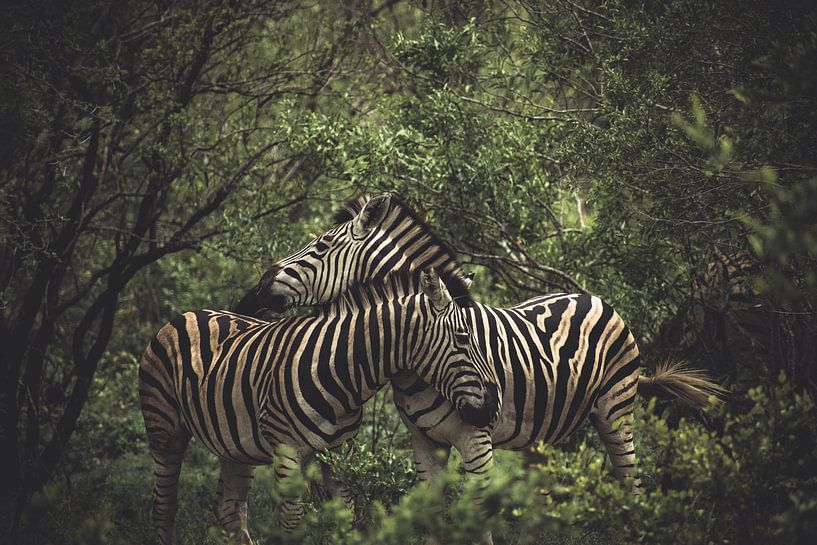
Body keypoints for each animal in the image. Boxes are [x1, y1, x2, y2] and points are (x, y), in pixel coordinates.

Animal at [139, 268, 498, 545]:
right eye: (464, 338)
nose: (494, 406)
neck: (341, 375)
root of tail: (187, 313)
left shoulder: (339, 453)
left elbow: (346, 518)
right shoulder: (287, 452)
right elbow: (292, 522)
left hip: (235, 446)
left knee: (231, 511)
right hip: (165, 431)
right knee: (164, 506)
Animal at [235, 193, 726, 544]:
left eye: (319, 246)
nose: (254, 291)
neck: (415, 367)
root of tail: (591, 295)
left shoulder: (477, 441)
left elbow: (480, 525)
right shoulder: (423, 444)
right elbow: (434, 520)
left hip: (615, 412)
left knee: (631, 484)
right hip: (539, 437)